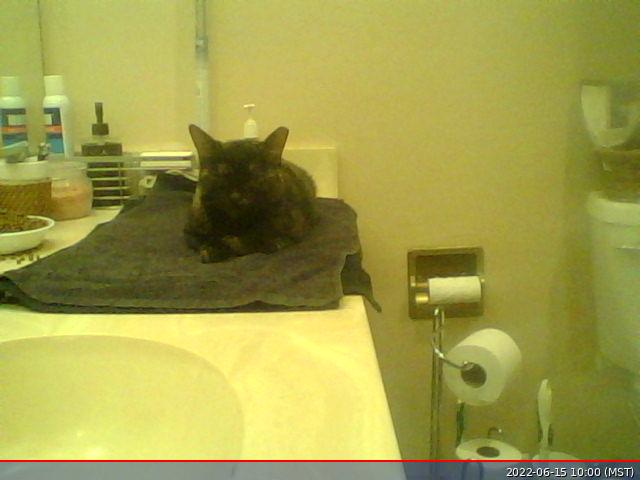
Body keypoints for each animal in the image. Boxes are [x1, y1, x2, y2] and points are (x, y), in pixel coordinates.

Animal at [184, 124, 318, 263]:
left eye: (254, 176)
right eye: (222, 175)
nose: (236, 196)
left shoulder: (289, 233)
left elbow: (254, 240)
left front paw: (228, 243)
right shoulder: (190, 233)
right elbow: (204, 239)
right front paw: (213, 248)